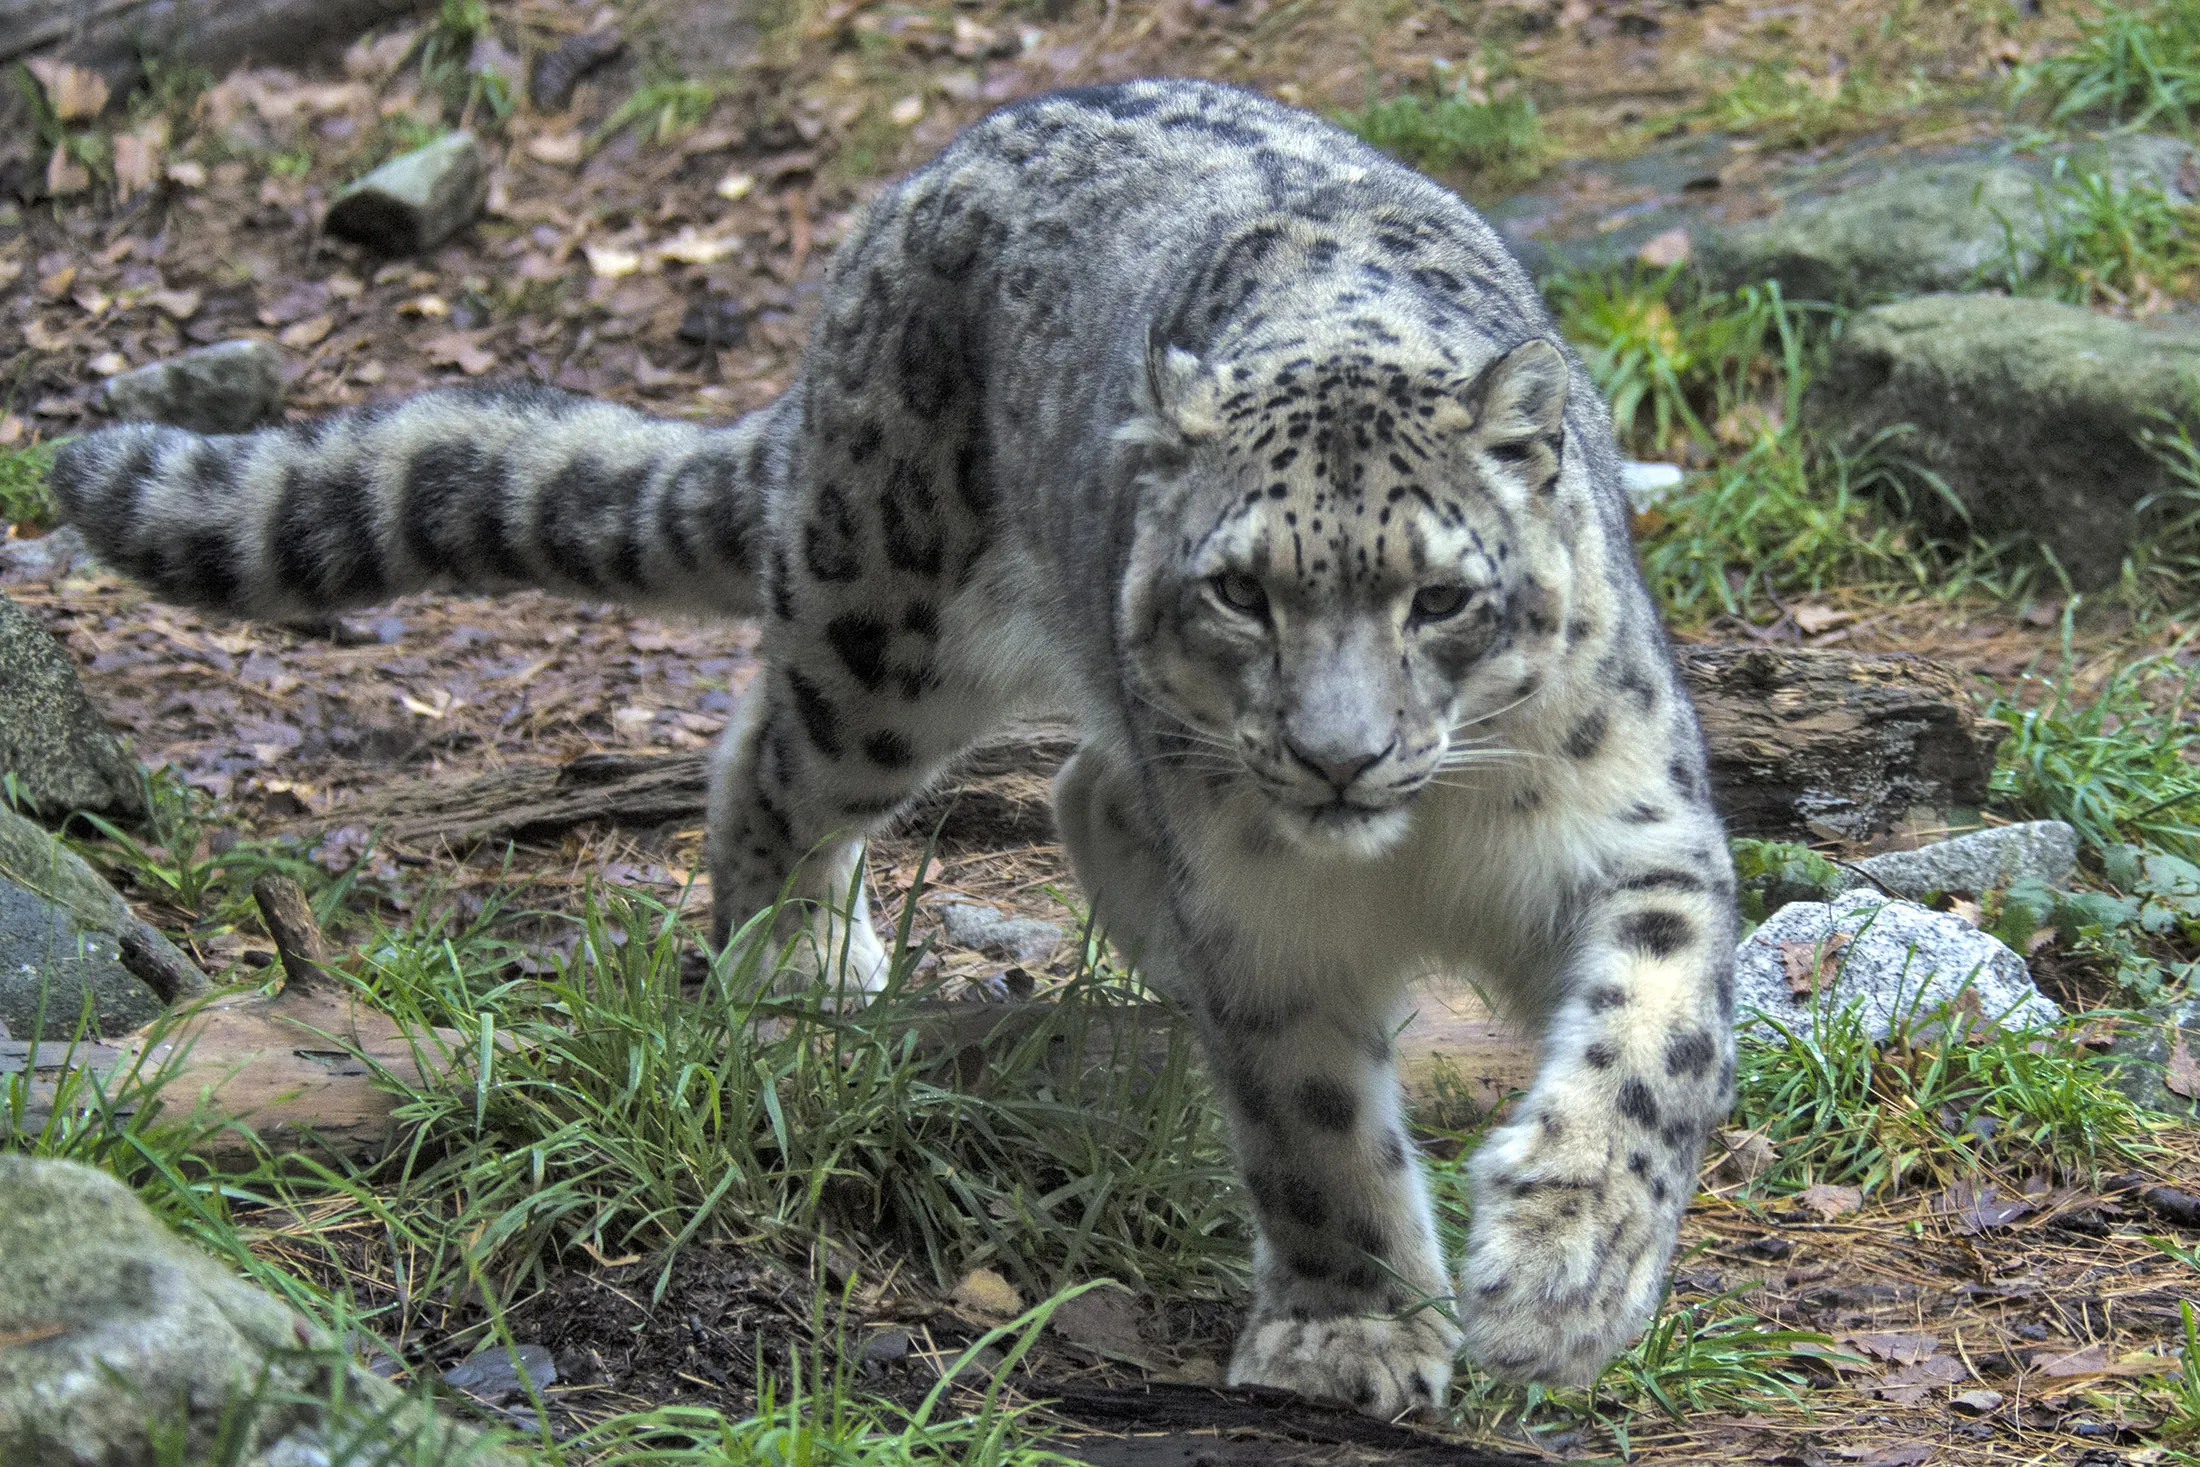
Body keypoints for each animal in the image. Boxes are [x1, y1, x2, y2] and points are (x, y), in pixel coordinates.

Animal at [50, 78, 1739, 1418]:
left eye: (1442, 596)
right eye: (1242, 588)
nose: (1336, 756)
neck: (1411, 849)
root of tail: (914, 189)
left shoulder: (1633, 830)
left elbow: (1651, 1048)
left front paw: (1563, 1272)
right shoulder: (1270, 921)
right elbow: (1311, 1127)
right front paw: (1356, 1328)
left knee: (1081, 783)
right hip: (885, 636)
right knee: (773, 765)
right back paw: (792, 970)